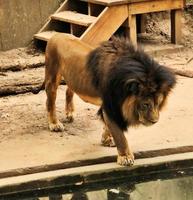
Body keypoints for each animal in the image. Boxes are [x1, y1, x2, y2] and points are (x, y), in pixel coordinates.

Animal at [33, 33, 176, 166]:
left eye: (159, 103)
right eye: (145, 104)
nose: (154, 121)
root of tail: (56, 35)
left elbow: (108, 127)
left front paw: (106, 140)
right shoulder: (110, 105)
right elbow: (119, 134)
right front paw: (125, 157)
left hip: (72, 78)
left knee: (69, 91)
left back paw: (70, 113)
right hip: (52, 76)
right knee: (50, 101)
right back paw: (54, 124)